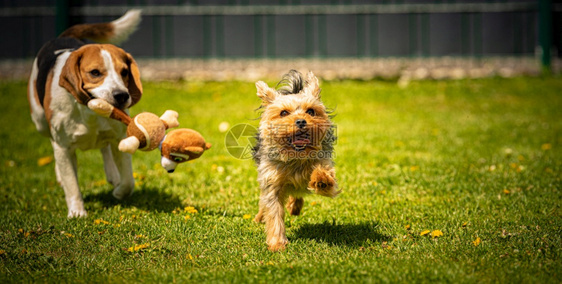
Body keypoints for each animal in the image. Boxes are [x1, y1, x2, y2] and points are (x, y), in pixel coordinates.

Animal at [28, 9, 142, 217]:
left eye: (124, 72)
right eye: (95, 73)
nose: (121, 96)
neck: (90, 110)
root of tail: (62, 37)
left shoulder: (121, 137)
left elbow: (129, 181)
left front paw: (119, 192)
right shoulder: (63, 147)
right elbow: (72, 184)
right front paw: (77, 212)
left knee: (104, 147)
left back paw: (113, 174)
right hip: (40, 121)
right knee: (52, 141)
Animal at [253, 70, 340, 251]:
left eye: (311, 111)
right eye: (284, 113)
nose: (301, 121)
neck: (296, 156)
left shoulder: (324, 163)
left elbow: (324, 174)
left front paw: (321, 180)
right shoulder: (271, 181)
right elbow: (273, 212)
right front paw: (277, 243)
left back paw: (294, 206)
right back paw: (260, 217)